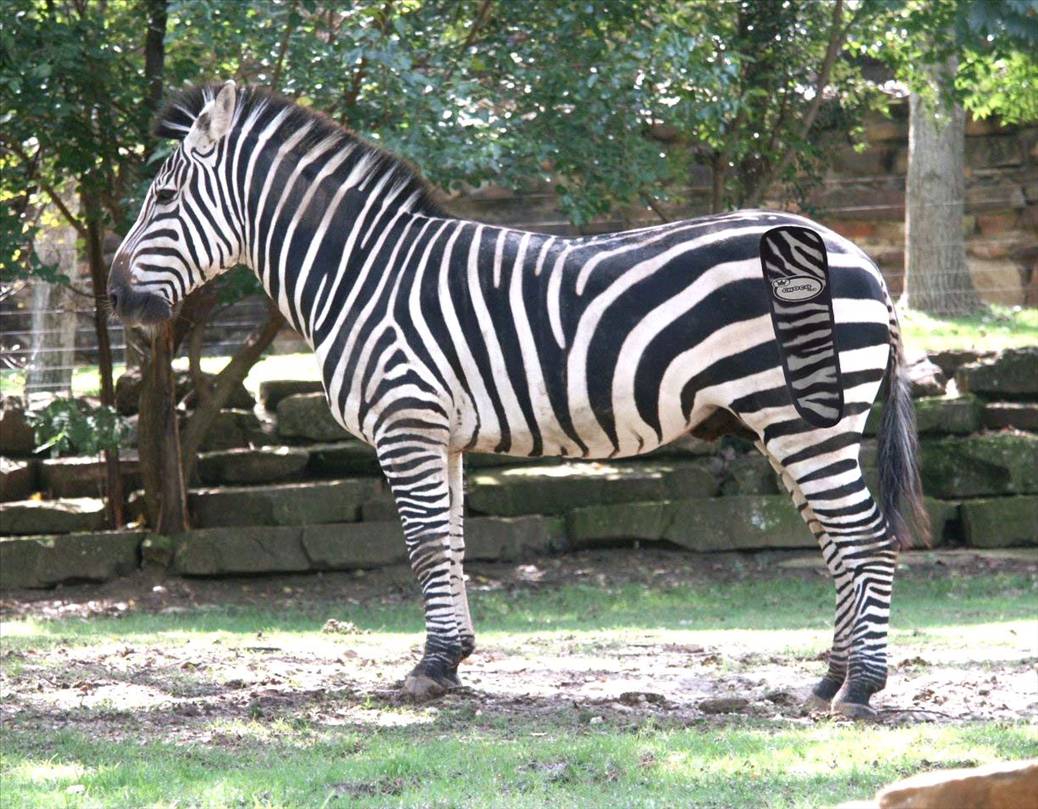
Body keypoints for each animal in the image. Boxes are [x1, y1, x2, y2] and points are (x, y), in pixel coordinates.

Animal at [108, 81, 927, 717]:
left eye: (165, 196)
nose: (116, 298)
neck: (360, 272)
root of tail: (860, 258)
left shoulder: (406, 421)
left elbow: (423, 542)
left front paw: (429, 670)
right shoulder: (440, 433)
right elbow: (452, 542)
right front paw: (452, 657)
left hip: (801, 420)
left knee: (866, 536)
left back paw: (861, 688)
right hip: (796, 423)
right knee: (836, 540)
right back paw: (827, 680)